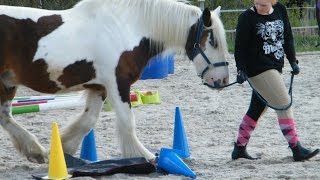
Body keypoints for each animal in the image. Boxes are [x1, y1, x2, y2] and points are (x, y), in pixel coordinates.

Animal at [0, 0, 230, 163]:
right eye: (213, 41)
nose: (223, 80)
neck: (128, 27)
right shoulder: (118, 83)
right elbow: (128, 122)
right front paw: (144, 156)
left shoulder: (99, 87)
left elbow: (88, 121)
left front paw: (64, 149)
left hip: (7, 83)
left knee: (5, 117)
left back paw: (35, 151)